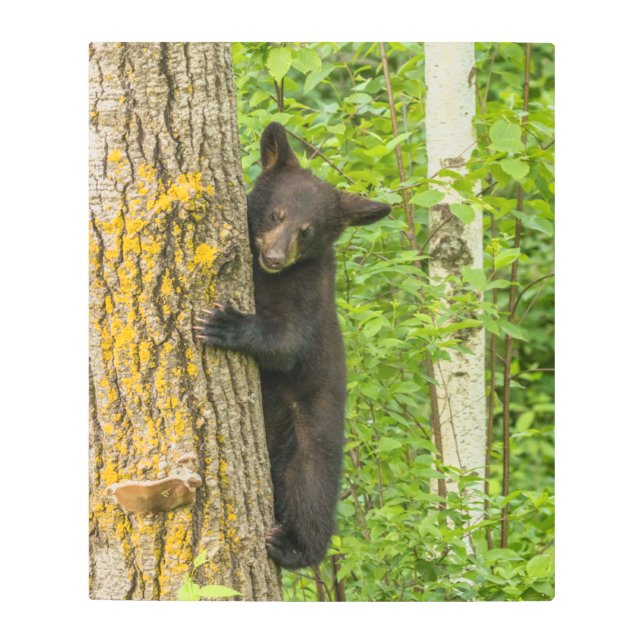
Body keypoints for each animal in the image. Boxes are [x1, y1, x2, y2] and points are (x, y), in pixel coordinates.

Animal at [194, 122, 391, 569]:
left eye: (308, 230)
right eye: (275, 214)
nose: (274, 256)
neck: (267, 278)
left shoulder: (309, 294)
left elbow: (286, 343)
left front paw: (225, 323)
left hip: (310, 438)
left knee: (309, 493)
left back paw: (293, 547)